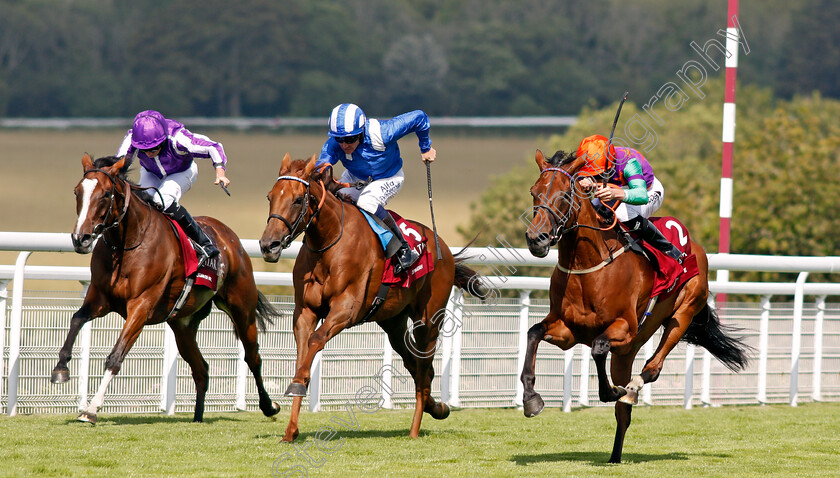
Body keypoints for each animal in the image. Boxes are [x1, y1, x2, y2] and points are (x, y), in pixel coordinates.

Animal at [52, 153, 282, 422]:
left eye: (106, 194)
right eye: (77, 191)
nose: (81, 239)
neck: (128, 243)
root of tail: (232, 239)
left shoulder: (141, 305)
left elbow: (116, 355)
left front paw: (90, 409)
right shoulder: (99, 298)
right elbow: (76, 319)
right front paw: (60, 369)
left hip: (242, 309)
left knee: (253, 357)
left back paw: (269, 406)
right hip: (183, 324)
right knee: (201, 368)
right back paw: (197, 417)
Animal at [258, 155, 486, 442]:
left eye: (299, 199)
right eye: (270, 196)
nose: (269, 245)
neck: (329, 242)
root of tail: (443, 248)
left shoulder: (346, 309)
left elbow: (315, 342)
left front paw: (296, 391)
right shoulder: (306, 311)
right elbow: (303, 355)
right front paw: (291, 428)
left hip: (429, 321)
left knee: (424, 369)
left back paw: (416, 428)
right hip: (393, 322)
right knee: (415, 364)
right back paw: (437, 408)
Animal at [520, 149, 752, 464]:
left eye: (564, 195)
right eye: (534, 192)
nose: (537, 239)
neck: (587, 267)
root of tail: (697, 248)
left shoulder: (625, 328)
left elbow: (598, 347)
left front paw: (611, 391)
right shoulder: (566, 330)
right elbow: (533, 332)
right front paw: (531, 399)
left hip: (682, 314)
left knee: (652, 368)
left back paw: (631, 388)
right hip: (626, 351)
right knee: (623, 415)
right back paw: (615, 455)